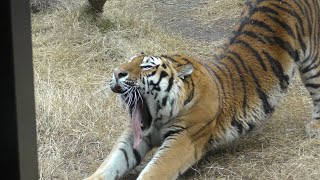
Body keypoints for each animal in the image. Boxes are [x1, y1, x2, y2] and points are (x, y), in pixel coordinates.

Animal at [85, 0, 320, 179]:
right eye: (128, 61)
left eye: (146, 66)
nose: (117, 73)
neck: (160, 116)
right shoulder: (134, 134)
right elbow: (112, 162)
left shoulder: (184, 140)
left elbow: (154, 171)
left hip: (312, 63)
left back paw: (315, 128)